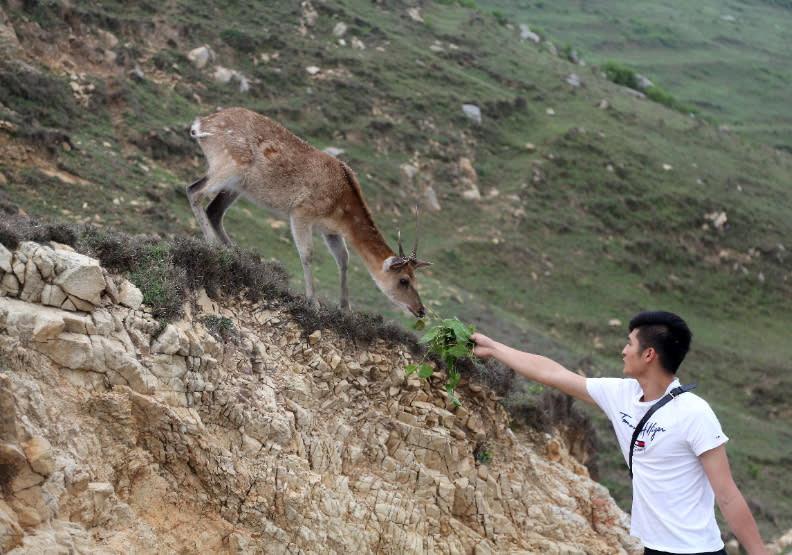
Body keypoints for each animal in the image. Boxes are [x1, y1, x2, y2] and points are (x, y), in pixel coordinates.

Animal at [186, 107, 434, 318]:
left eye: (416, 279)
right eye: (404, 280)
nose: (421, 310)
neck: (341, 208)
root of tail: (200, 125)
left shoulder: (330, 230)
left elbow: (344, 258)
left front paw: (345, 307)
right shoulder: (300, 212)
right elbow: (307, 253)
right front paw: (313, 301)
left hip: (238, 184)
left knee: (214, 210)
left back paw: (239, 254)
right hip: (228, 163)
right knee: (194, 191)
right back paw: (213, 244)